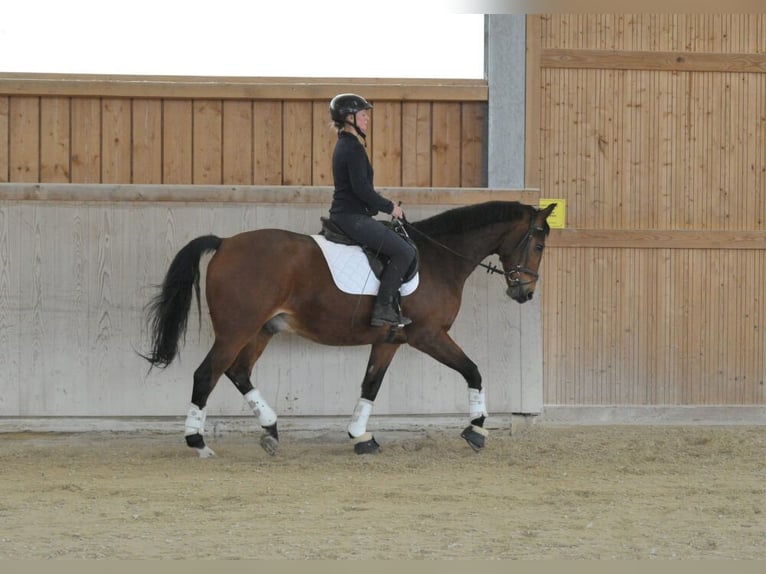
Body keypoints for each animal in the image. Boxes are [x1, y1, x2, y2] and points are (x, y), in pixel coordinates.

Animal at [142, 200, 556, 457]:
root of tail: (226, 242)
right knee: (206, 375)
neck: (439, 258)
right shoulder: (429, 335)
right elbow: (473, 371)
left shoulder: (391, 339)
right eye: (538, 245)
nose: (525, 293)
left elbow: (370, 385)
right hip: (236, 329)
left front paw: (361, 437)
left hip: (261, 330)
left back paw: (271, 430)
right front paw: (477, 429)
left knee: (238, 372)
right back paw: (198, 442)